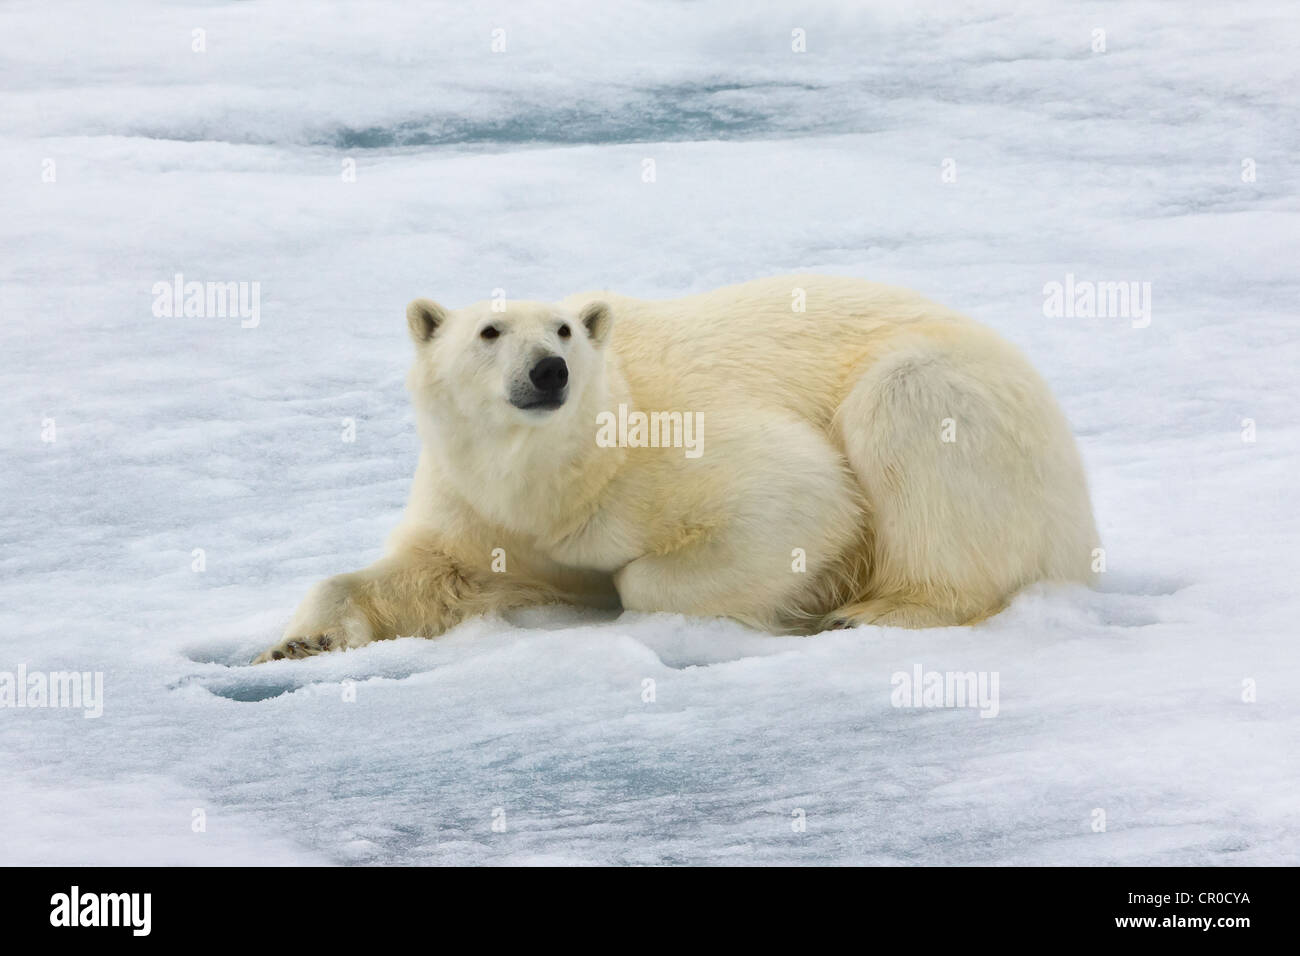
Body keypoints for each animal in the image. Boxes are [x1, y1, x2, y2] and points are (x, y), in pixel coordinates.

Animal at [250, 274, 1097, 665]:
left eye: (564, 328)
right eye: (489, 331)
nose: (549, 370)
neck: (558, 478)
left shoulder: (657, 449)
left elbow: (802, 495)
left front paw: (802, 597)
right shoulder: (478, 505)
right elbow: (434, 575)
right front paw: (298, 642)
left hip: (972, 409)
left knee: (909, 407)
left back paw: (879, 609)